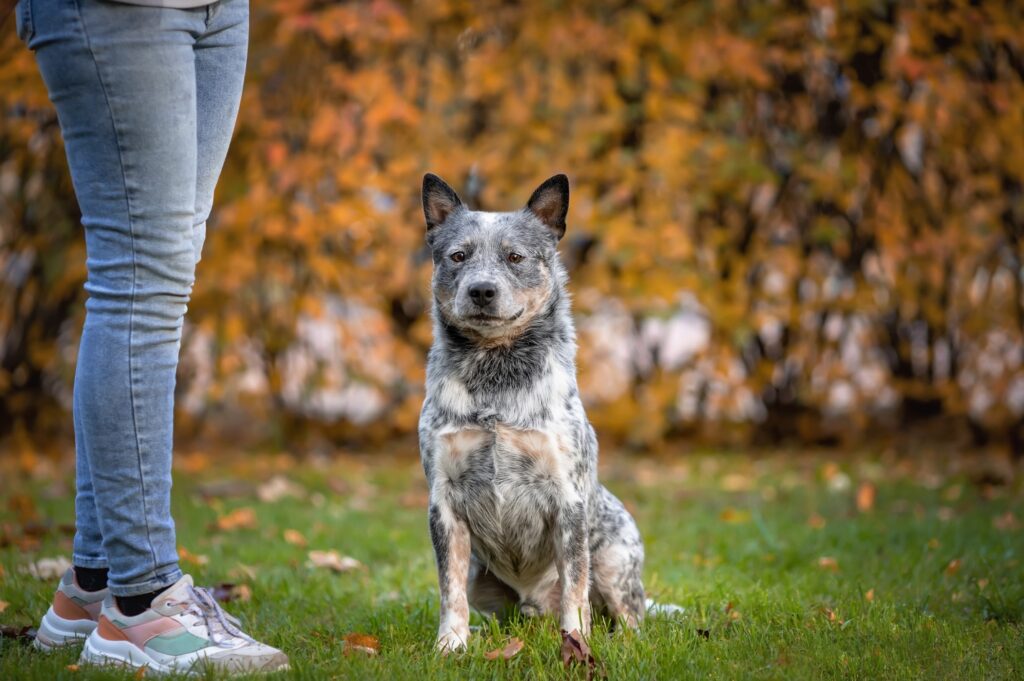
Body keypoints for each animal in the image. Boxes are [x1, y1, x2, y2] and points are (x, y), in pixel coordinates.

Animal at [417, 173, 643, 651]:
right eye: (458, 255)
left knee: (627, 615)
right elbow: (449, 588)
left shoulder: (568, 499)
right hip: (484, 581)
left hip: (616, 562)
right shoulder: (444, 503)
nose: (482, 290)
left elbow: (575, 587)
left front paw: (575, 645)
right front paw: (451, 645)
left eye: (515, 256)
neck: (496, 377)